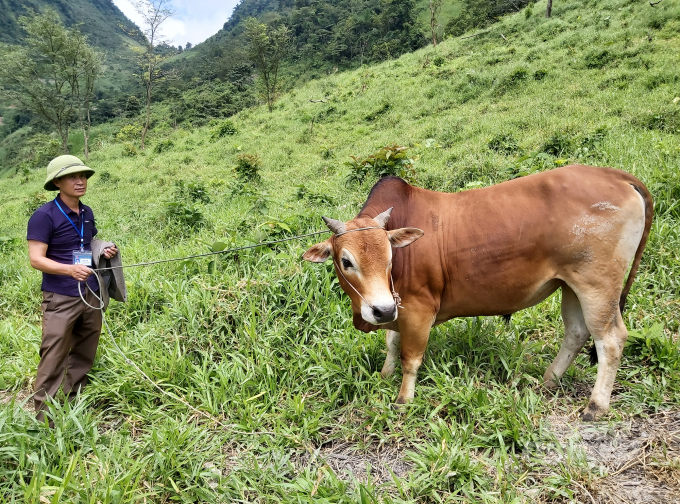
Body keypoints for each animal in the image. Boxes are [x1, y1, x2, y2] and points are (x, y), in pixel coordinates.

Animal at [304, 165, 652, 422]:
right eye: (346, 261)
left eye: (391, 257)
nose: (382, 311)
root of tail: (617, 175)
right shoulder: (396, 305)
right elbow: (391, 342)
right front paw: (385, 373)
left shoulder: (417, 308)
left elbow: (410, 358)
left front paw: (403, 399)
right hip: (571, 284)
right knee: (577, 332)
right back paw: (548, 380)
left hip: (598, 285)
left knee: (610, 339)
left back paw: (596, 405)